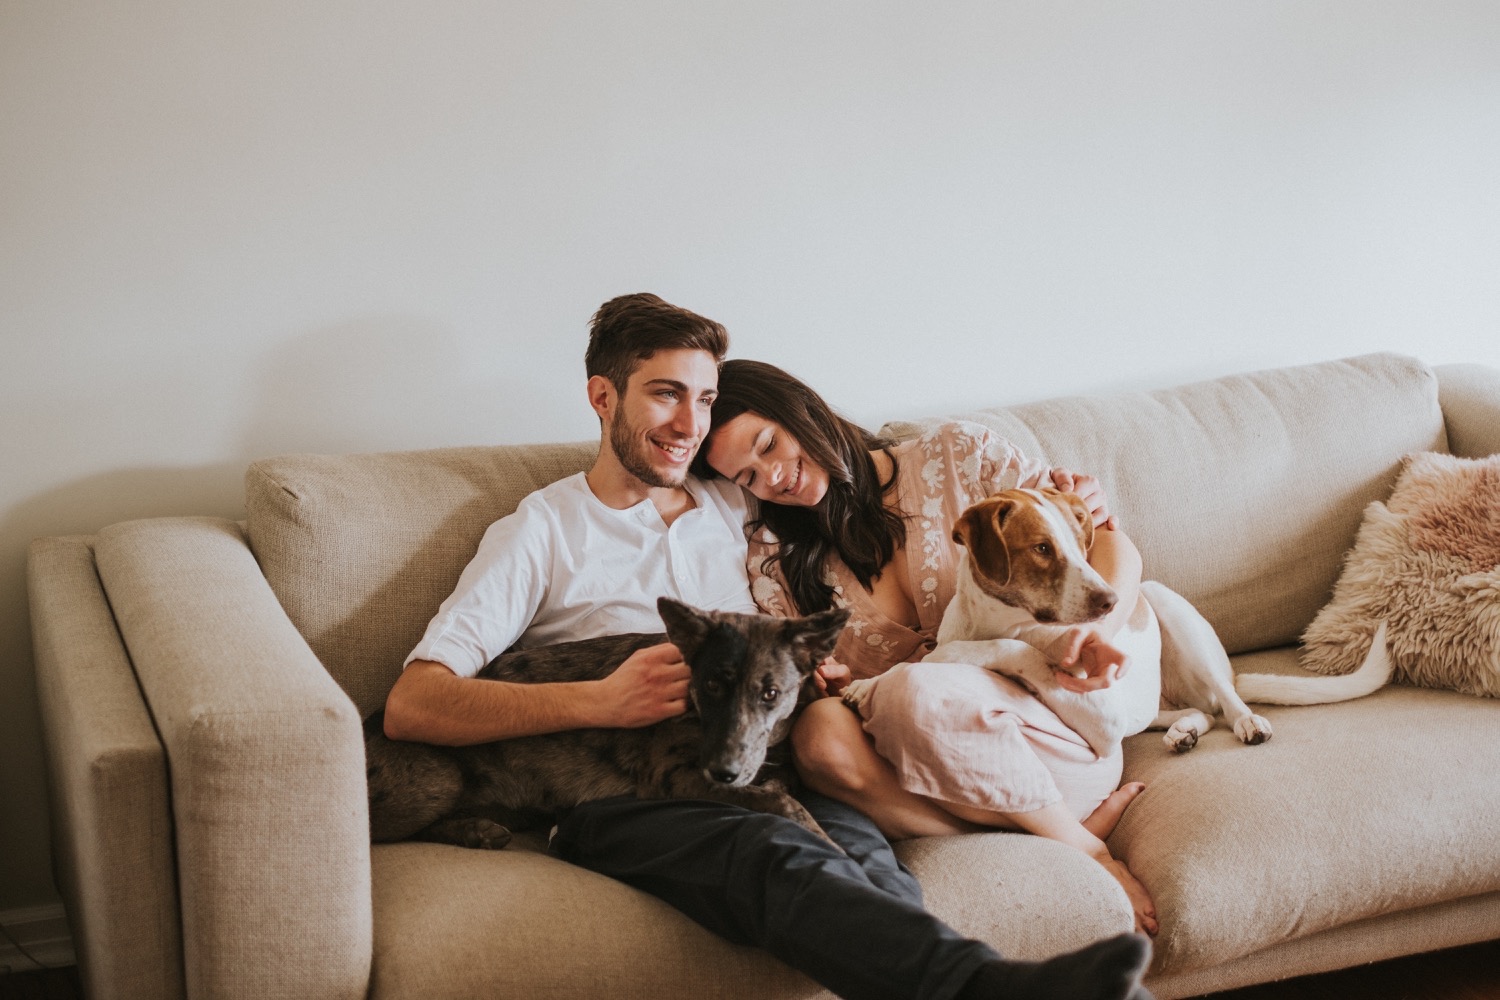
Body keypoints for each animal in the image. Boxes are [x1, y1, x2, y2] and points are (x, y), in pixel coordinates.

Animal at [364, 599, 852, 851]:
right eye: (711, 685)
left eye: (770, 694)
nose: (724, 772)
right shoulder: (671, 777)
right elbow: (779, 801)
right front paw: (823, 839)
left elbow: (779, 784)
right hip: (436, 783)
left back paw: (478, 829)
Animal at [852, 488, 1272, 755]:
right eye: (1042, 548)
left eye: (1081, 543)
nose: (1111, 601)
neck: (996, 621)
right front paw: (869, 681)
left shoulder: (1101, 714)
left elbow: (1011, 648)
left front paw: (939, 656)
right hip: (1149, 706)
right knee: (1199, 713)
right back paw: (1183, 732)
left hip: (1168, 607)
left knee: (1225, 699)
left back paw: (1248, 722)